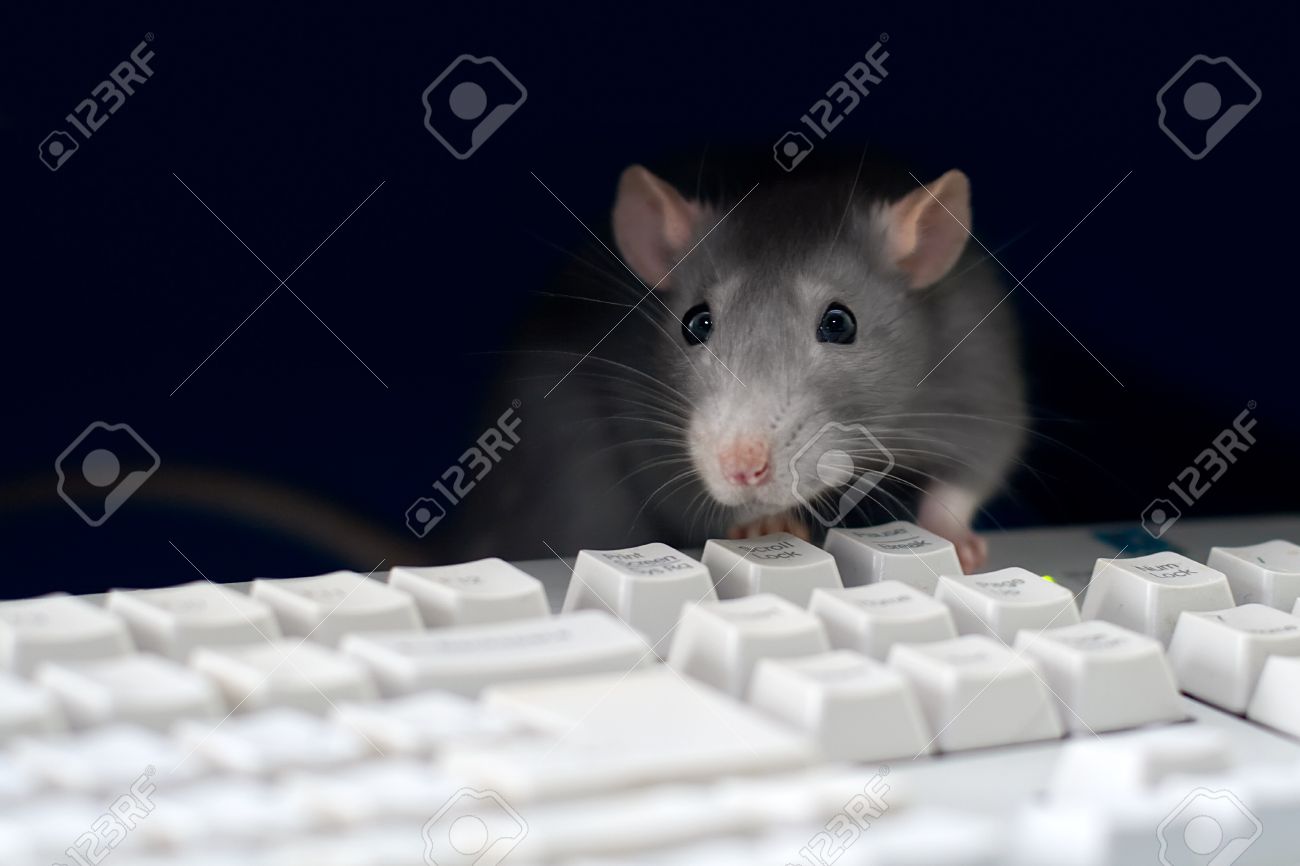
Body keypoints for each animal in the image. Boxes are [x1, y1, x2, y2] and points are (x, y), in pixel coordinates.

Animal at [449, 160, 1025, 572]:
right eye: (695, 323)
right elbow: (676, 489)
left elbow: (983, 457)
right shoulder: (642, 415)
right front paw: (764, 523)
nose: (740, 467)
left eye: (839, 323)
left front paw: (951, 535)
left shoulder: (975, 360)